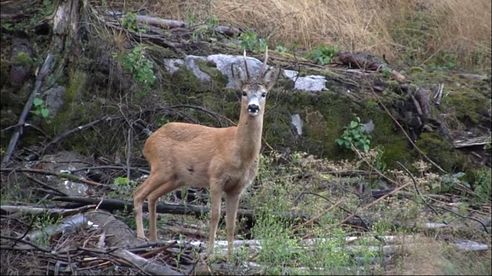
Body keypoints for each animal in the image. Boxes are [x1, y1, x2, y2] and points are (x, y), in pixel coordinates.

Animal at [133, 49, 278, 258]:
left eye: (263, 94)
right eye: (244, 92)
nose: (253, 107)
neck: (239, 153)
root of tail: (148, 142)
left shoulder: (238, 187)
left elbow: (232, 222)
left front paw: (230, 256)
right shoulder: (216, 177)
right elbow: (215, 215)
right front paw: (210, 253)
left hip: (176, 177)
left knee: (152, 197)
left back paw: (154, 239)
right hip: (161, 167)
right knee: (138, 193)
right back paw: (141, 237)